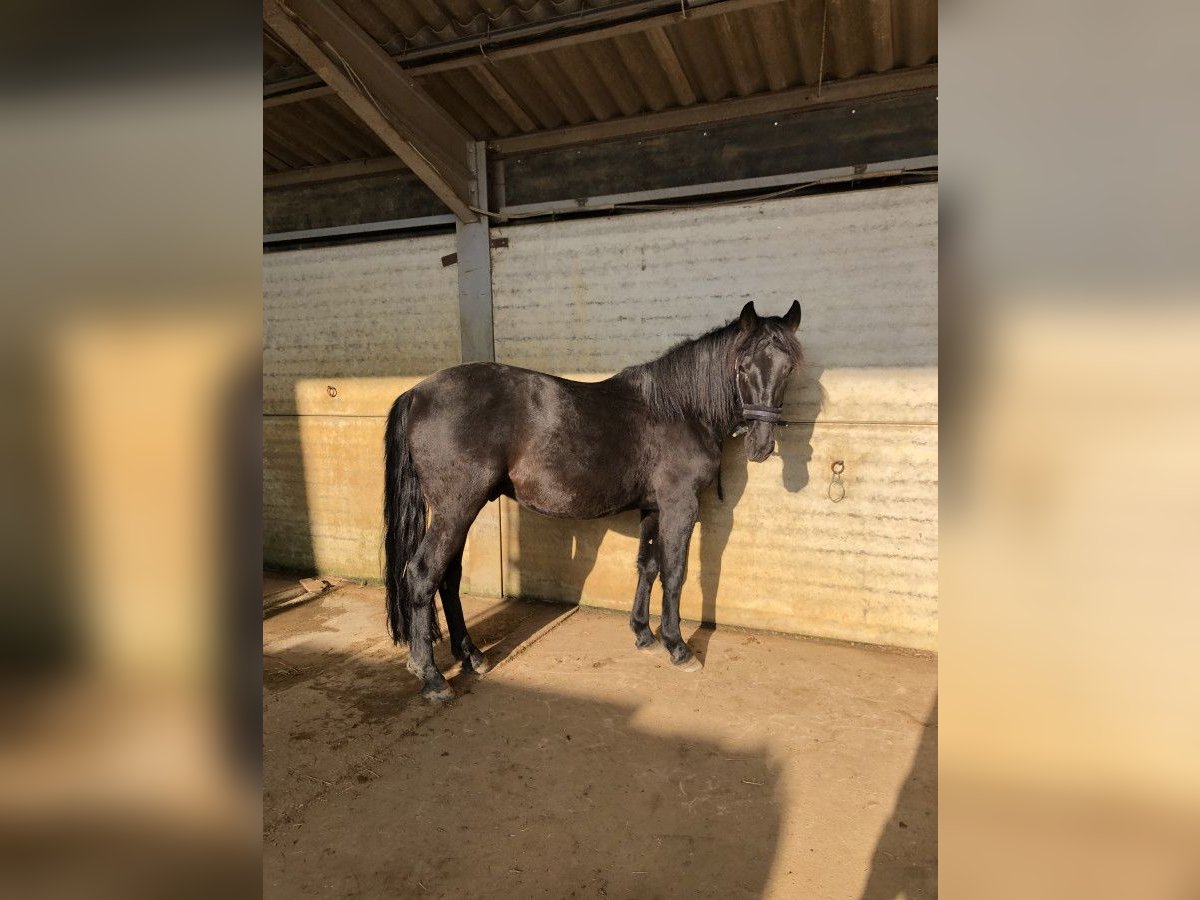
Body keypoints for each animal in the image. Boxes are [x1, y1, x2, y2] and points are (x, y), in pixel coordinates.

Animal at [379, 300, 801, 700]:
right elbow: (674, 572)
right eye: (743, 366)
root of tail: (416, 393)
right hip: (456, 509)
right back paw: (431, 677)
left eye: (789, 368)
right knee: (423, 574)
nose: (761, 446)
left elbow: (648, 566)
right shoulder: (680, 506)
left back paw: (472, 656)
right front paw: (678, 647)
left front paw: (643, 634)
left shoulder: (653, 507)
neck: (680, 410)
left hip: (460, 509)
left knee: (447, 578)